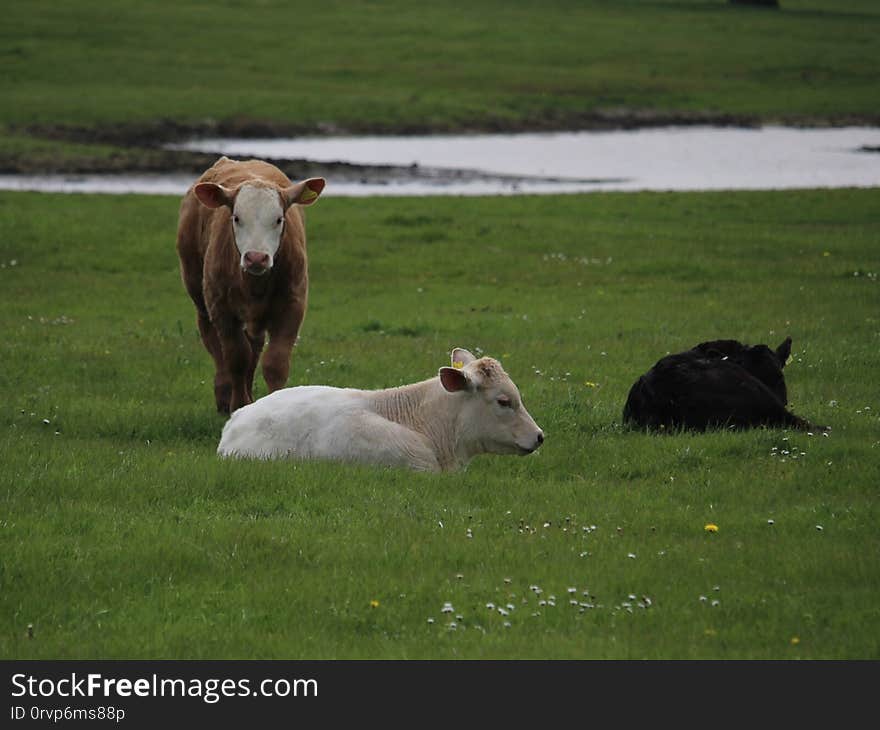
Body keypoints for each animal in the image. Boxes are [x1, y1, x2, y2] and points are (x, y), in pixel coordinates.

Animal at [175, 156, 324, 412]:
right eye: (236, 218)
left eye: (278, 219)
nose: (256, 257)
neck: (255, 284)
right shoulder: (222, 308)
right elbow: (236, 357)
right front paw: (238, 405)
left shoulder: (293, 305)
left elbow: (275, 362)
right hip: (201, 298)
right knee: (214, 343)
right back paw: (224, 395)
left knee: (254, 346)